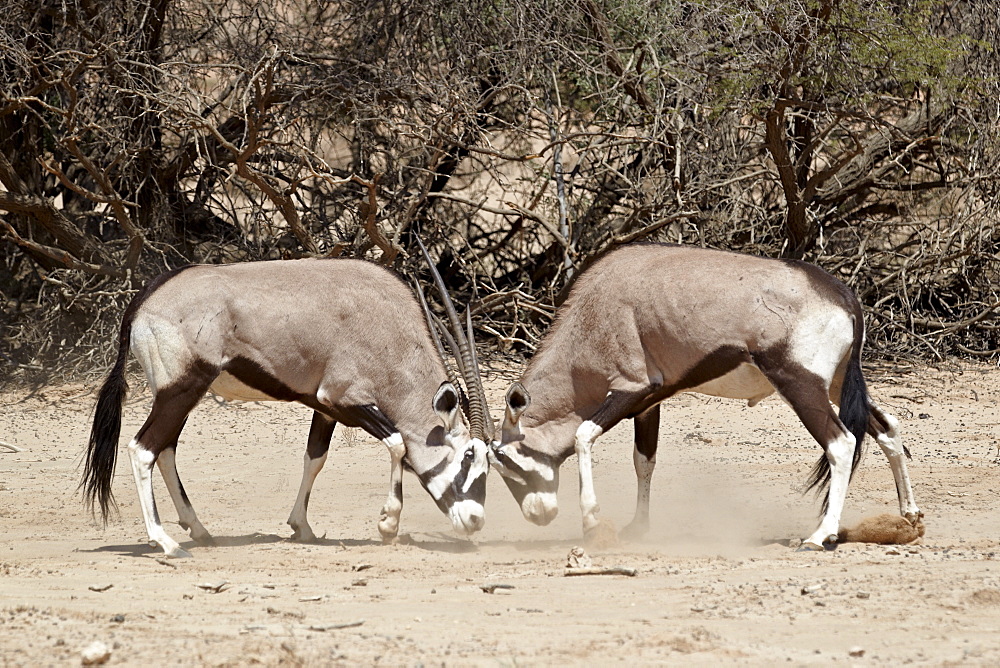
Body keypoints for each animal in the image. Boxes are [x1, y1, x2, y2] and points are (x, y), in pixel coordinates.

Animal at [82, 256, 492, 560]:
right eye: (467, 458)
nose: (475, 521)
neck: (387, 329)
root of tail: (145, 299)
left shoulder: (324, 408)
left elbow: (315, 457)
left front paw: (302, 527)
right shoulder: (342, 399)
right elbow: (397, 444)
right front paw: (388, 524)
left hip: (180, 394)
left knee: (165, 449)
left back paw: (198, 530)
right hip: (180, 390)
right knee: (143, 449)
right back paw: (165, 542)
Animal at [492, 243, 920, 552]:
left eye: (505, 462)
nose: (538, 515)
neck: (594, 314)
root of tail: (842, 296)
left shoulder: (631, 388)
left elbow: (582, 436)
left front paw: (595, 524)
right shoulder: (650, 401)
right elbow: (644, 461)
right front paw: (638, 527)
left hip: (802, 384)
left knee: (841, 442)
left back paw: (820, 537)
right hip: (837, 383)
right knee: (886, 426)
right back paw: (910, 518)